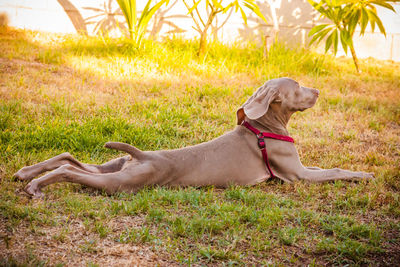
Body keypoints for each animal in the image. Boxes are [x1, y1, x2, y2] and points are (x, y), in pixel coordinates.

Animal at [14, 77, 374, 197]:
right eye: (297, 87)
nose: (318, 91)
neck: (264, 126)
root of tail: (143, 155)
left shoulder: (302, 169)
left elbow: (327, 166)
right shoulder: (297, 175)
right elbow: (335, 170)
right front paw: (364, 175)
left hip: (115, 166)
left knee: (68, 159)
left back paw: (26, 173)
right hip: (124, 182)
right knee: (69, 170)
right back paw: (35, 185)